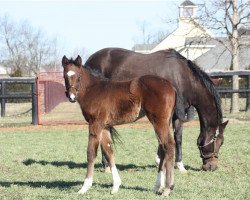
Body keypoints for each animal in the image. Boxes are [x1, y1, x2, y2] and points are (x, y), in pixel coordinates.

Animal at [62, 55, 176, 197]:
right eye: (64, 76)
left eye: (78, 77)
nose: (71, 96)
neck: (94, 90)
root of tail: (171, 86)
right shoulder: (104, 127)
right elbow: (109, 152)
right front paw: (115, 186)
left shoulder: (95, 124)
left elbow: (91, 153)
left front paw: (84, 187)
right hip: (162, 122)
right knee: (162, 147)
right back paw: (158, 186)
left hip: (159, 121)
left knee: (168, 146)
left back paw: (167, 189)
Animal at [85, 47, 229, 171]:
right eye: (219, 142)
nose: (212, 167)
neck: (182, 77)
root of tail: (89, 60)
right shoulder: (172, 113)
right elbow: (170, 137)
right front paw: (167, 162)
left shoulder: (176, 113)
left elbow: (174, 137)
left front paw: (172, 163)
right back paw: (107, 166)